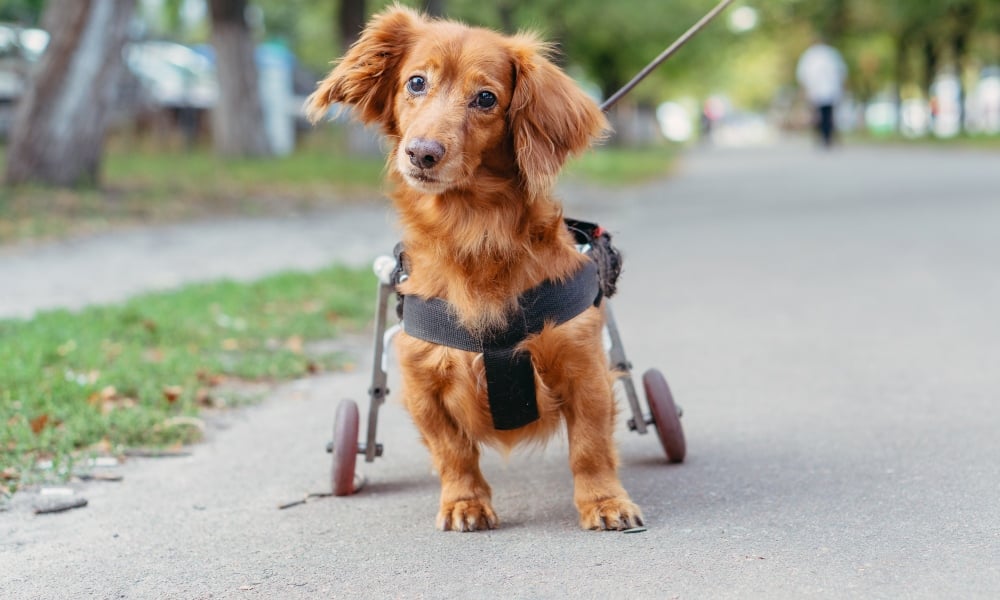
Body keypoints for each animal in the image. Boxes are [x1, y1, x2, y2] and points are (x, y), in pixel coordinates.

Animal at [308, 4, 644, 528]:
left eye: (486, 98)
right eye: (416, 82)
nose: (421, 153)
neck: (475, 234)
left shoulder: (583, 367)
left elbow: (589, 447)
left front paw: (604, 501)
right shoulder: (422, 379)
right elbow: (453, 451)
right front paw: (465, 502)